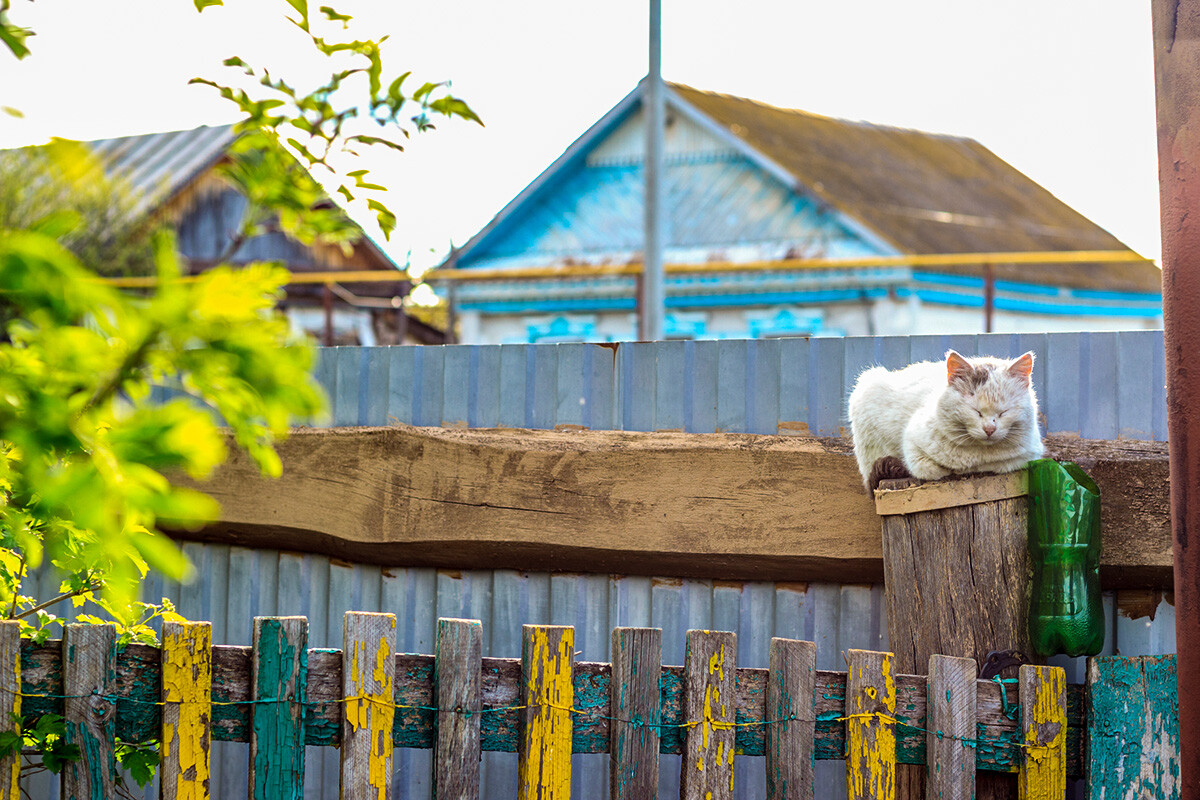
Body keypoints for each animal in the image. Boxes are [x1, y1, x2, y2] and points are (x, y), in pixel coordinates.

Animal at [849, 347, 1046, 489]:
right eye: (976, 411)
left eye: (1003, 412)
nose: (989, 429)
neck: (976, 455)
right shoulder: (912, 443)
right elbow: (930, 469)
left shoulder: (1029, 454)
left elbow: (1001, 464)